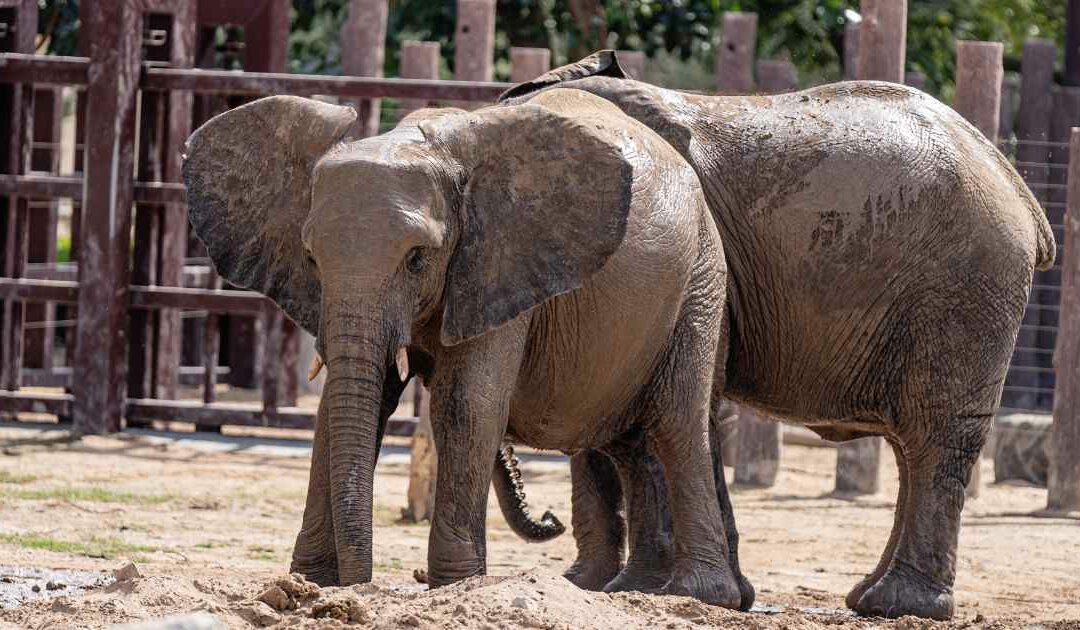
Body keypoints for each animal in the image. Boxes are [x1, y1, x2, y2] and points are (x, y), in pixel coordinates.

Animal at [183, 87, 743, 605]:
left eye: (417, 259)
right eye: (310, 258)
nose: (360, 586)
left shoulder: (497, 260)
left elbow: (465, 406)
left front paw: (455, 586)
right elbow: (345, 406)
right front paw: (308, 584)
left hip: (701, 278)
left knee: (676, 422)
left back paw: (697, 596)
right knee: (629, 441)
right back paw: (631, 591)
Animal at [501, 50, 1058, 622]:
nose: (548, 519)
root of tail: (1020, 192)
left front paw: (639, 591)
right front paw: (601, 587)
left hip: (965, 289)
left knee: (936, 433)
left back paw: (899, 604)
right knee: (913, 443)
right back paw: (869, 597)